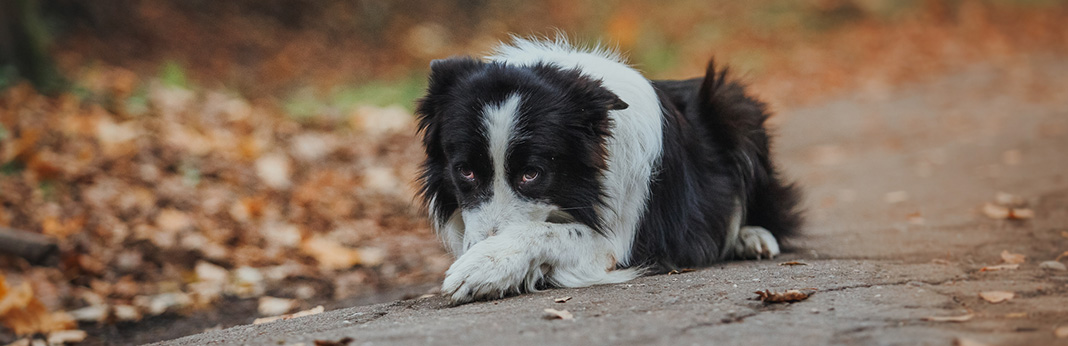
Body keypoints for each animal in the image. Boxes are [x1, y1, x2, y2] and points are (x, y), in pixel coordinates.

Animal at [412, 36, 798, 303]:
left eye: (531, 174)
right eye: (465, 171)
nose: (477, 247)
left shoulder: (617, 244)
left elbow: (544, 232)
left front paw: (483, 267)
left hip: (736, 108)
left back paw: (753, 236)